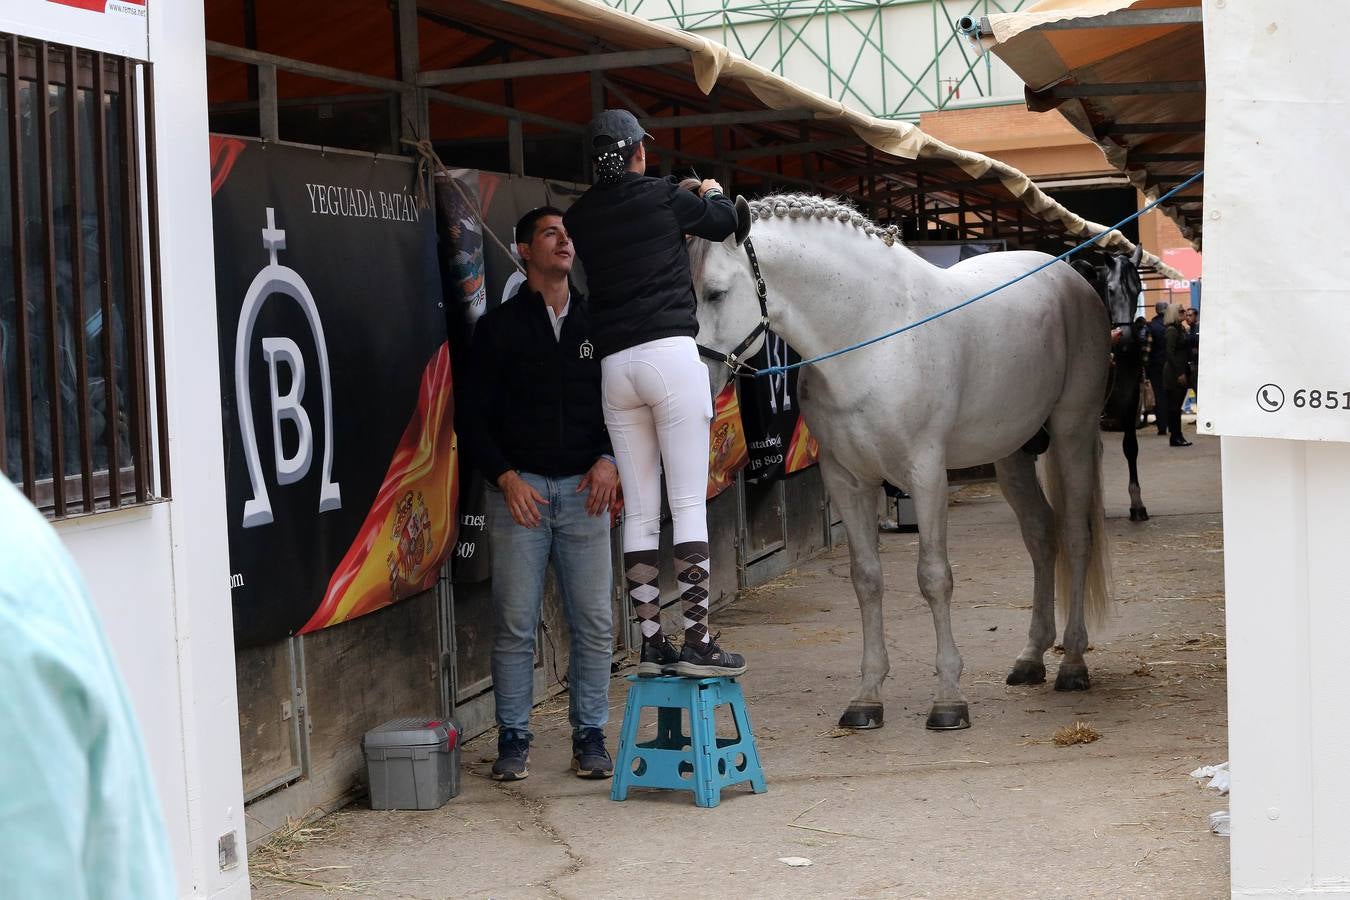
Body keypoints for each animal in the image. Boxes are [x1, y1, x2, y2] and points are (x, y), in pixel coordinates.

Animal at [691, 197, 1112, 734]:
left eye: (716, 293)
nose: (696, 378)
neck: (872, 334)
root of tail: (1071, 276)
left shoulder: (925, 474)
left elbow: (934, 577)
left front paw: (949, 699)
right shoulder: (846, 480)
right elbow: (867, 580)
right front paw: (867, 697)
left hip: (1072, 433)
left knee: (1076, 537)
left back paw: (1073, 663)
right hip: (1012, 452)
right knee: (1042, 535)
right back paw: (1031, 658)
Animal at [1074, 246, 1150, 523]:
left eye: (1138, 289)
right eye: (1111, 289)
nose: (1125, 339)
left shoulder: (1131, 398)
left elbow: (1131, 447)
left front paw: (1137, 504)